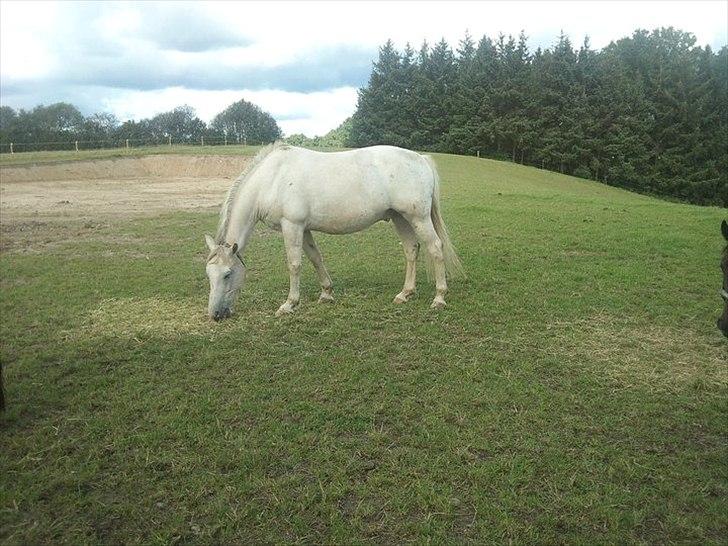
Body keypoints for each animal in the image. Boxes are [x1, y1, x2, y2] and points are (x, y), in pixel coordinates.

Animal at [205, 142, 464, 316]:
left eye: (227, 274)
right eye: (209, 275)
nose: (215, 315)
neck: (272, 178)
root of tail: (421, 159)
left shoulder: (292, 226)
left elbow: (295, 264)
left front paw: (289, 303)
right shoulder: (304, 229)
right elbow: (315, 258)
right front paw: (326, 293)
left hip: (418, 217)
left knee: (435, 248)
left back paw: (439, 297)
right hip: (400, 218)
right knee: (411, 249)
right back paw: (405, 294)